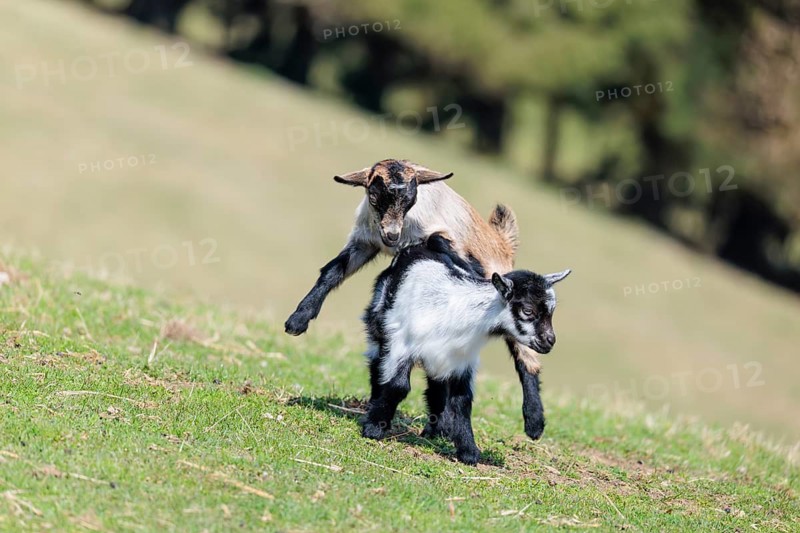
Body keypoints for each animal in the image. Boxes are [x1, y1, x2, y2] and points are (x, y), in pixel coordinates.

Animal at [284, 159, 549, 440]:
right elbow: (333, 271)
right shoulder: (365, 241)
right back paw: (438, 426)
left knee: (526, 358)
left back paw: (534, 423)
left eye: (411, 198)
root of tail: (502, 243)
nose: (391, 236)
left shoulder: (440, 236)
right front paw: (298, 320)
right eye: (374, 196)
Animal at [362, 234, 571, 464]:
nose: (550, 341)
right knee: (376, 363)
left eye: (551, 311)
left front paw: (468, 452)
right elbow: (398, 385)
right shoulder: (402, 344)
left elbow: (462, 400)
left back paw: (437, 429)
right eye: (528, 310)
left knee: (436, 388)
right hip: (379, 321)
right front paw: (373, 428)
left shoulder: (461, 360)